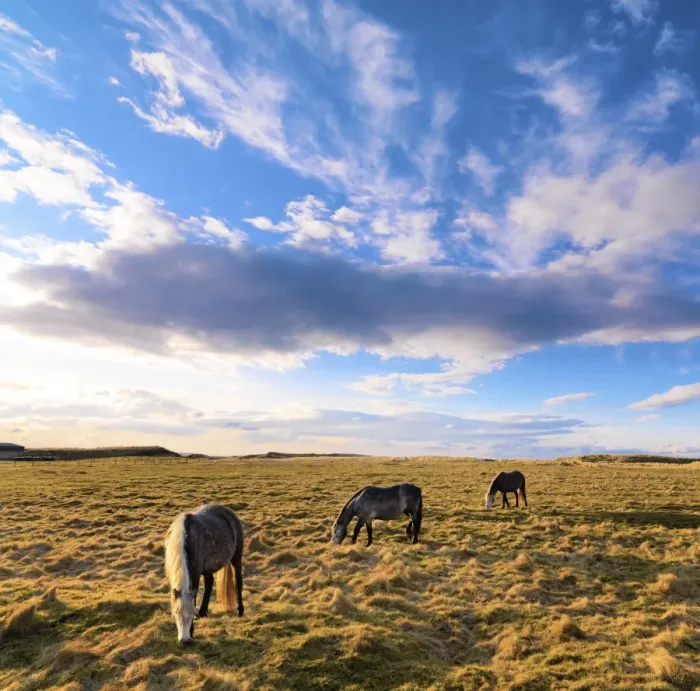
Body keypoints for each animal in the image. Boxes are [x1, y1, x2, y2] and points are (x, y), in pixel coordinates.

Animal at [164, 504, 244, 644]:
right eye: (176, 614)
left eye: (190, 613)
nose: (185, 640)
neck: (185, 537)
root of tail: (230, 513)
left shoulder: (195, 573)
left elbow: (194, 598)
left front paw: (192, 630)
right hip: (208, 569)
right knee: (209, 583)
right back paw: (202, 612)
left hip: (236, 557)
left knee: (238, 582)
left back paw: (240, 610)